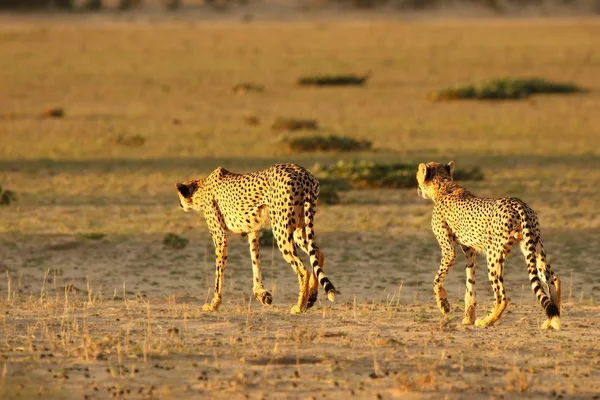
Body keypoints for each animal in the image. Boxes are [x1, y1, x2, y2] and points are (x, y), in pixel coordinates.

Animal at [178, 162, 338, 312]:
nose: (180, 205)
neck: (202, 188)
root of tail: (302, 173)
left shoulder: (220, 237)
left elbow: (219, 272)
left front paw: (213, 304)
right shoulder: (252, 232)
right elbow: (255, 261)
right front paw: (262, 294)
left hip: (281, 230)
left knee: (303, 270)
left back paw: (299, 306)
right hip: (299, 227)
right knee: (317, 253)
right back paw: (311, 297)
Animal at [418, 161, 564, 330]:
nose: (418, 189)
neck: (444, 186)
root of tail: (517, 202)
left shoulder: (449, 250)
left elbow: (437, 279)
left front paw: (444, 305)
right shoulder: (469, 250)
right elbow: (470, 282)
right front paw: (468, 317)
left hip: (493, 255)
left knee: (502, 297)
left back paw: (486, 321)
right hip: (533, 247)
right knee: (553, 279)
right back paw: (551, 321)